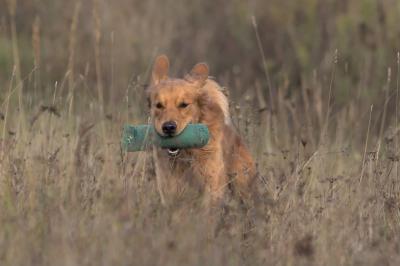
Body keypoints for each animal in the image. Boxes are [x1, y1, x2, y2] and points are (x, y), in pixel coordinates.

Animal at [147, 54, 256, 208]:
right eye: (159, 105)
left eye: (183, 105)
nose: (168, 127)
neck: (186, 153)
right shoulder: (169, 184)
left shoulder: (212, 181)